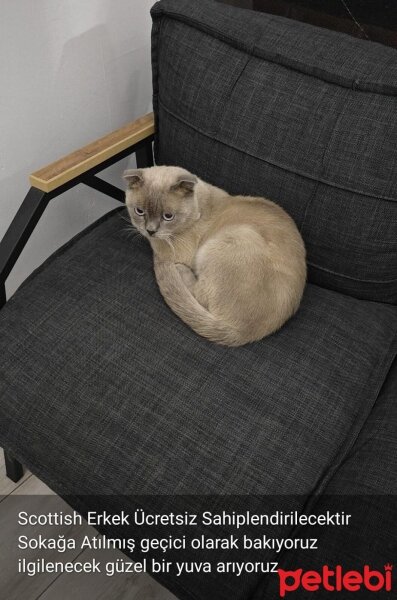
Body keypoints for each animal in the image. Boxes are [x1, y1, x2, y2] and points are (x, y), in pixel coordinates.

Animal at [124, 168, 306, 346]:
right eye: (139, 211)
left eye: (168, 216)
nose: (150, 231)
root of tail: (243, 334)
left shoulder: (168, 251)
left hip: (227, 241)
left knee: (199, 294)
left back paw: (180, 270)